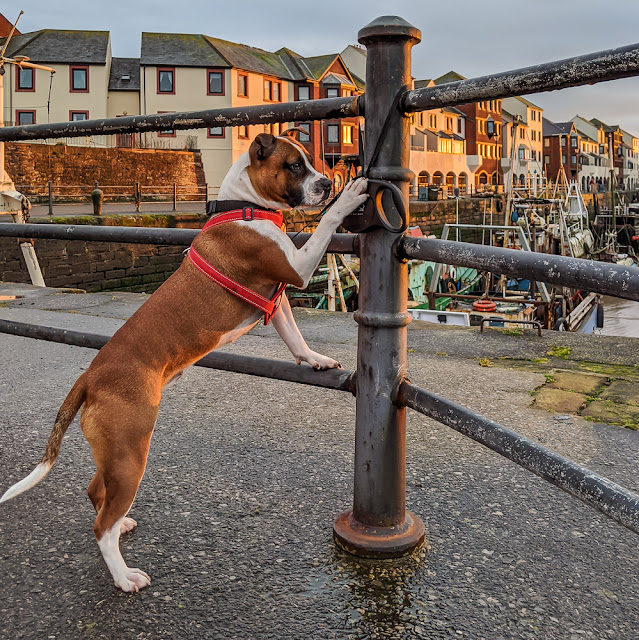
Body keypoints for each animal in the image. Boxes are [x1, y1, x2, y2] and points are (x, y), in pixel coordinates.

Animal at [1, 130, 370, 592]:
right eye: (294, 165)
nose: (325, 183)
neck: (243, 207)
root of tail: (89, 378)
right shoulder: (297, 269)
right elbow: (324, 225)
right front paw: (350, 195)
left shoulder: (279, 297)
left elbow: (294, 336)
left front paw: (315, 359)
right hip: (130, 452)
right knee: (101, 525)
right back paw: (124, 576)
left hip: (115, 454)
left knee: (95, 493)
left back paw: (122, 528)